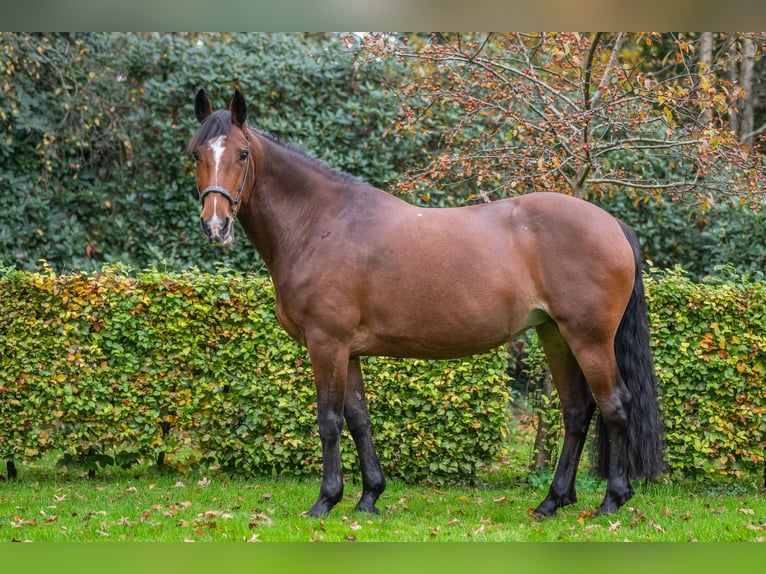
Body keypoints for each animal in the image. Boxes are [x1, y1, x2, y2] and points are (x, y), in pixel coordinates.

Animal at [188, 90, 664, 520]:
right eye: (195, 154)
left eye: (243, 154)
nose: (215, 225)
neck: (321, 223)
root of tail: (611, 223)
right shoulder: (349, 351)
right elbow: (359, 419)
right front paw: (369, 498)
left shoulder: (327, 344)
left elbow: (329, 421)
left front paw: (325, 501)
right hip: (555, 335)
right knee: (577, 411)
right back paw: (552, 501)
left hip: (589, 339)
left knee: (615, 406)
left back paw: (611, 500)